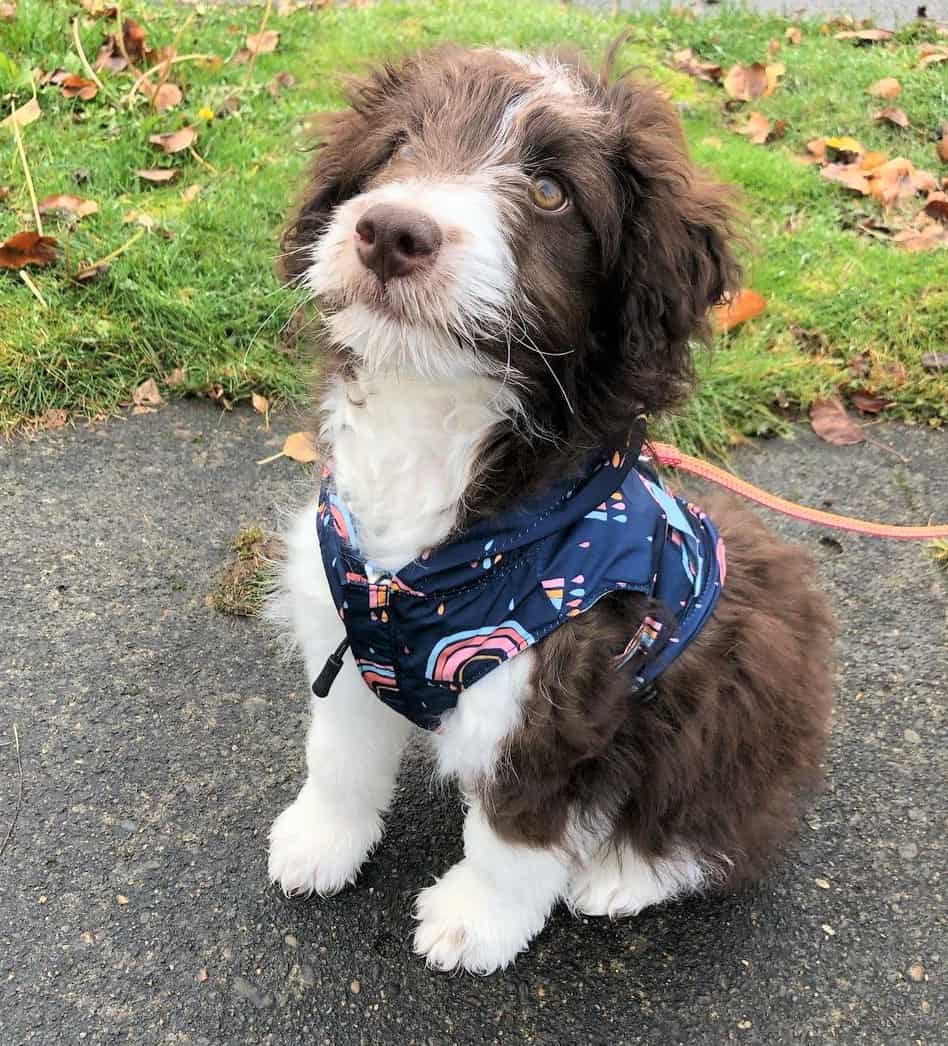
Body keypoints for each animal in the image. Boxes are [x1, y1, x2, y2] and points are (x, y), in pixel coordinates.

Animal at [262, 44, 832, 974]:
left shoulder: (557, 685)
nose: (391, 232)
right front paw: (321, 840)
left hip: (745, 666)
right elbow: (339, 751)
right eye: (400, 145)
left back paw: (622, 874)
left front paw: (474, 923)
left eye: (551, 192)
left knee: (718, 824)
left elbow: (516, 829)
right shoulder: (342, 631)